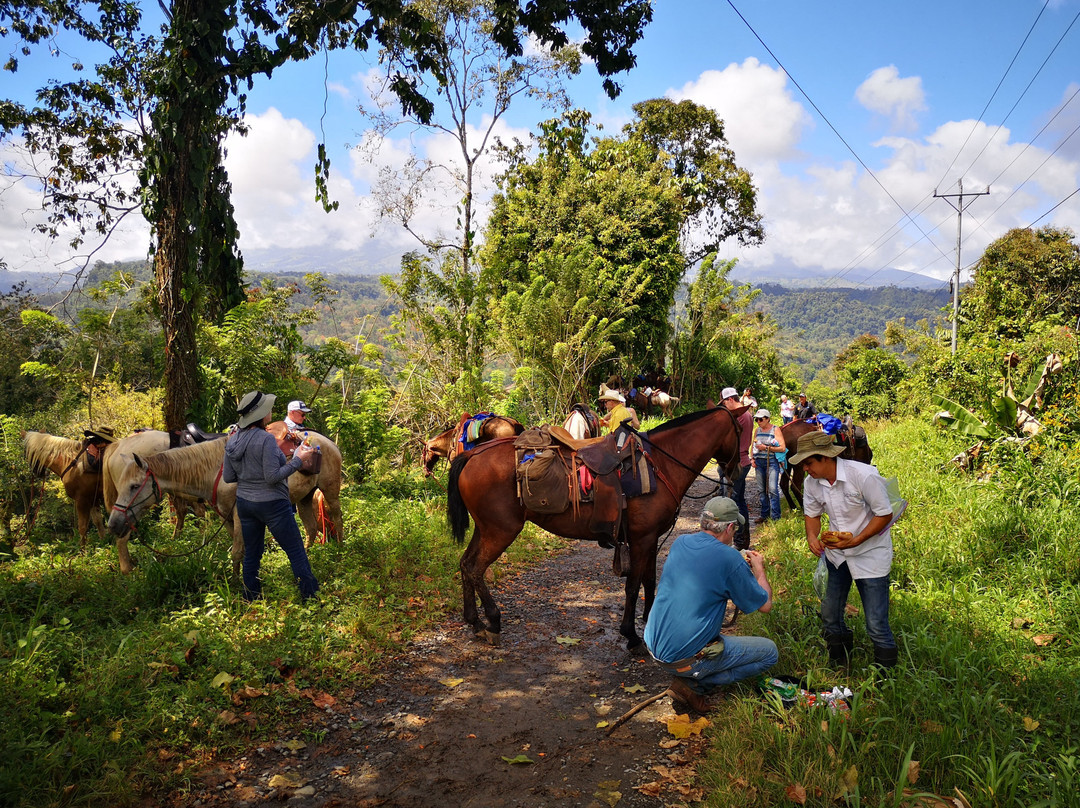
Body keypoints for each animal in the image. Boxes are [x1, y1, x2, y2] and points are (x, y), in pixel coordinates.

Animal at [105, 429, 341, 574]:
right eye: (122, 484)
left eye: (134, 486)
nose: (113, 523)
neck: (215, 469)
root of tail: (327, 442)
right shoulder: (226, 516)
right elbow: (239, 551)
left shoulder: (239, 515)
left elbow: (237, 552)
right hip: (305, 498)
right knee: (311, 528)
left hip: (330, 491)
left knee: (336, 519)